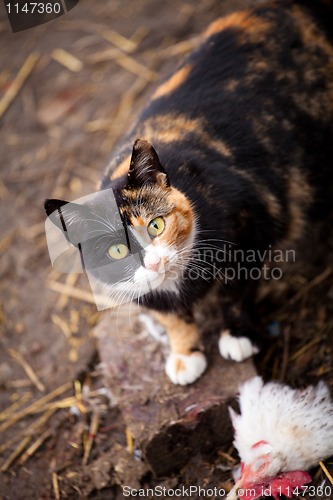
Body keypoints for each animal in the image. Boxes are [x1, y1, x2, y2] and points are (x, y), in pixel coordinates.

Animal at [44, 0, 332, 384]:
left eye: (155, 225)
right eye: (117, 250)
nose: (153, 262)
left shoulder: (251, 222)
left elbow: (233, 291)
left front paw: (237, 336)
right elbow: (170, 315)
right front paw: (184, 354)